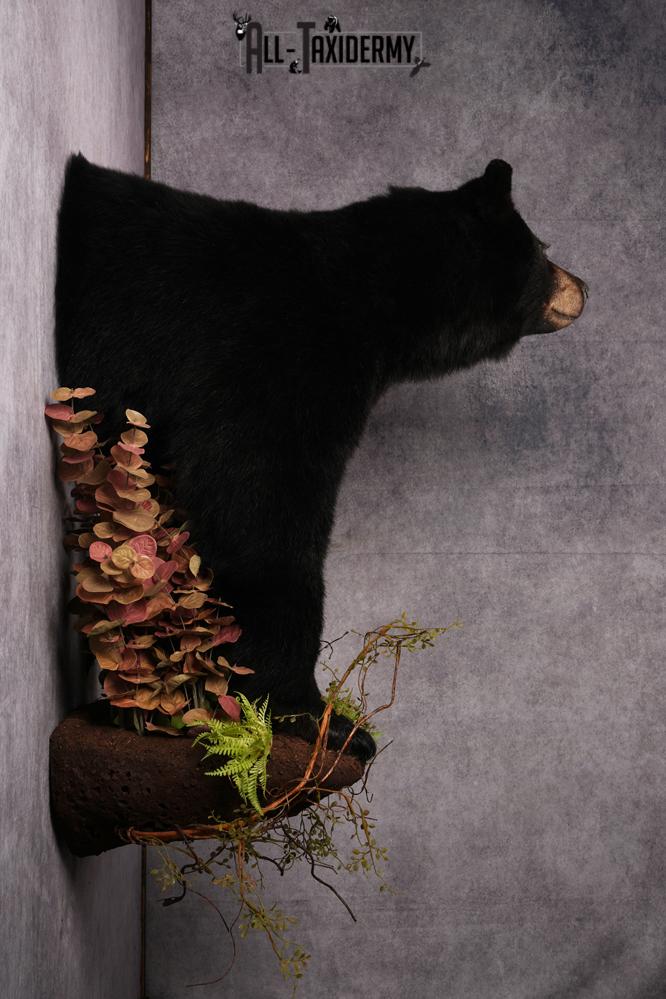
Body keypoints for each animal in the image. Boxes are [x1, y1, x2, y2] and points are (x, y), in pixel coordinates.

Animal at [54, 154, 587, 761]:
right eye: (543, 248)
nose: (584, 286)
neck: (373, 297)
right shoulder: (273, 364)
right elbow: (259, 510)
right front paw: (313, 714)